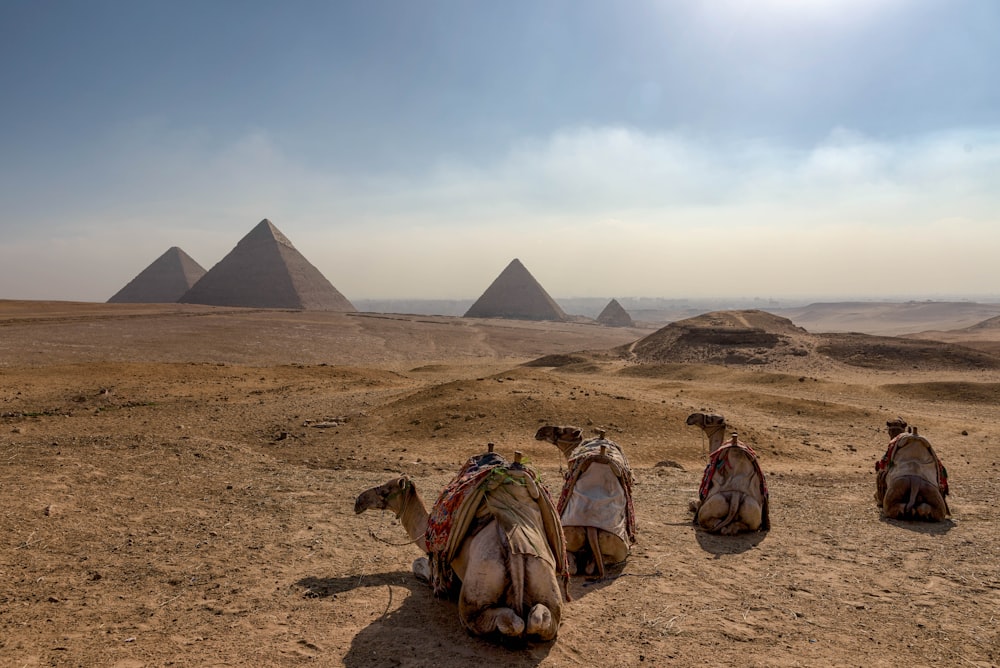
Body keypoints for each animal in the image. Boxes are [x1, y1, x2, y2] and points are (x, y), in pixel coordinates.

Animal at [356, 448, 568, 640]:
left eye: (385, 490)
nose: (359, 500)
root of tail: (516, 554)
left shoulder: (438, 561)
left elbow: (418, 565)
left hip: (475, 589)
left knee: (501, 620)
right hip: (547, 585)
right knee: (541, 618)